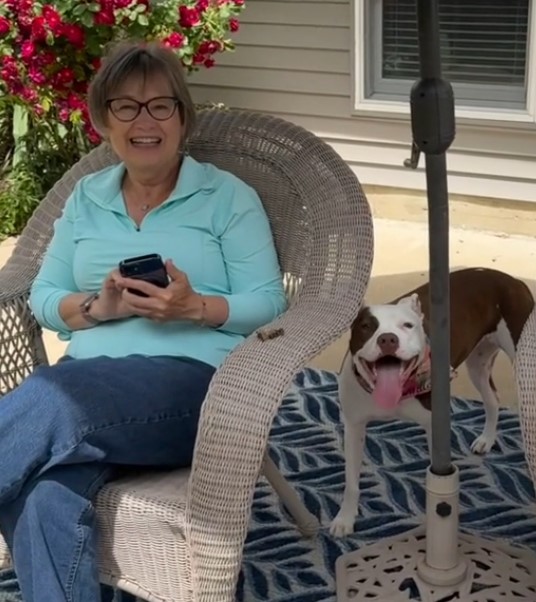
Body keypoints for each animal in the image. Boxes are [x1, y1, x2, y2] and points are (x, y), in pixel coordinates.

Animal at [328, 266, 532, 536]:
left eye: (408, 326)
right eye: (366, 326)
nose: (388, 339)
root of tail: (511, 279)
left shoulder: (434, 427)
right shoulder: (353, 427)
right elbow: (351, 481)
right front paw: (345, 519)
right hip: (478, 365)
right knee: (492, 400)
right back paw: (486, 440)